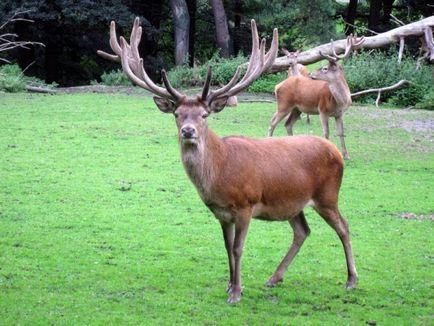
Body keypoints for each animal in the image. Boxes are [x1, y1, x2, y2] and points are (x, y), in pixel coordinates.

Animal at [99, 17, 360, 304]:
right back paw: (274, 277)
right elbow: (226, 247)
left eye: (204, 115)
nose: (187, 131)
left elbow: (237, 248)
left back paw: (351, 280)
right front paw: (230, 285)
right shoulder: (221, 212)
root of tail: (335, 152)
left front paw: (235, 292)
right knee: (303, 231)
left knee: (344, 227)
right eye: (177, 114)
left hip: (327, 195)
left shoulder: (246, 205)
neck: (220, 174)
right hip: (293, 202)